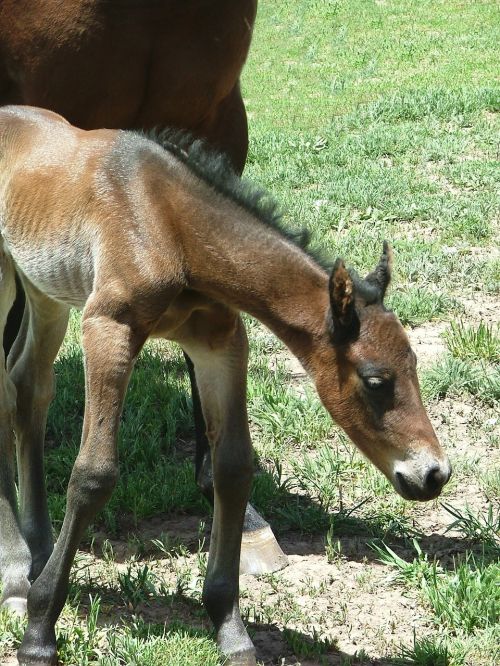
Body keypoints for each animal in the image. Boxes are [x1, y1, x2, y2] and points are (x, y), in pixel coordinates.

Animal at [0, 105, 452, 664]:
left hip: (44, 288)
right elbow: (94, 475)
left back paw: (36, 549)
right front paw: (40, 632)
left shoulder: (221, 343)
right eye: (375, 381)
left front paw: (231, 629)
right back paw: (16, 573)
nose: (433, 474)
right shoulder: (108, 327)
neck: (169, 223)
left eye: (414, 363)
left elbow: (233, 467)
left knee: (28, 387)